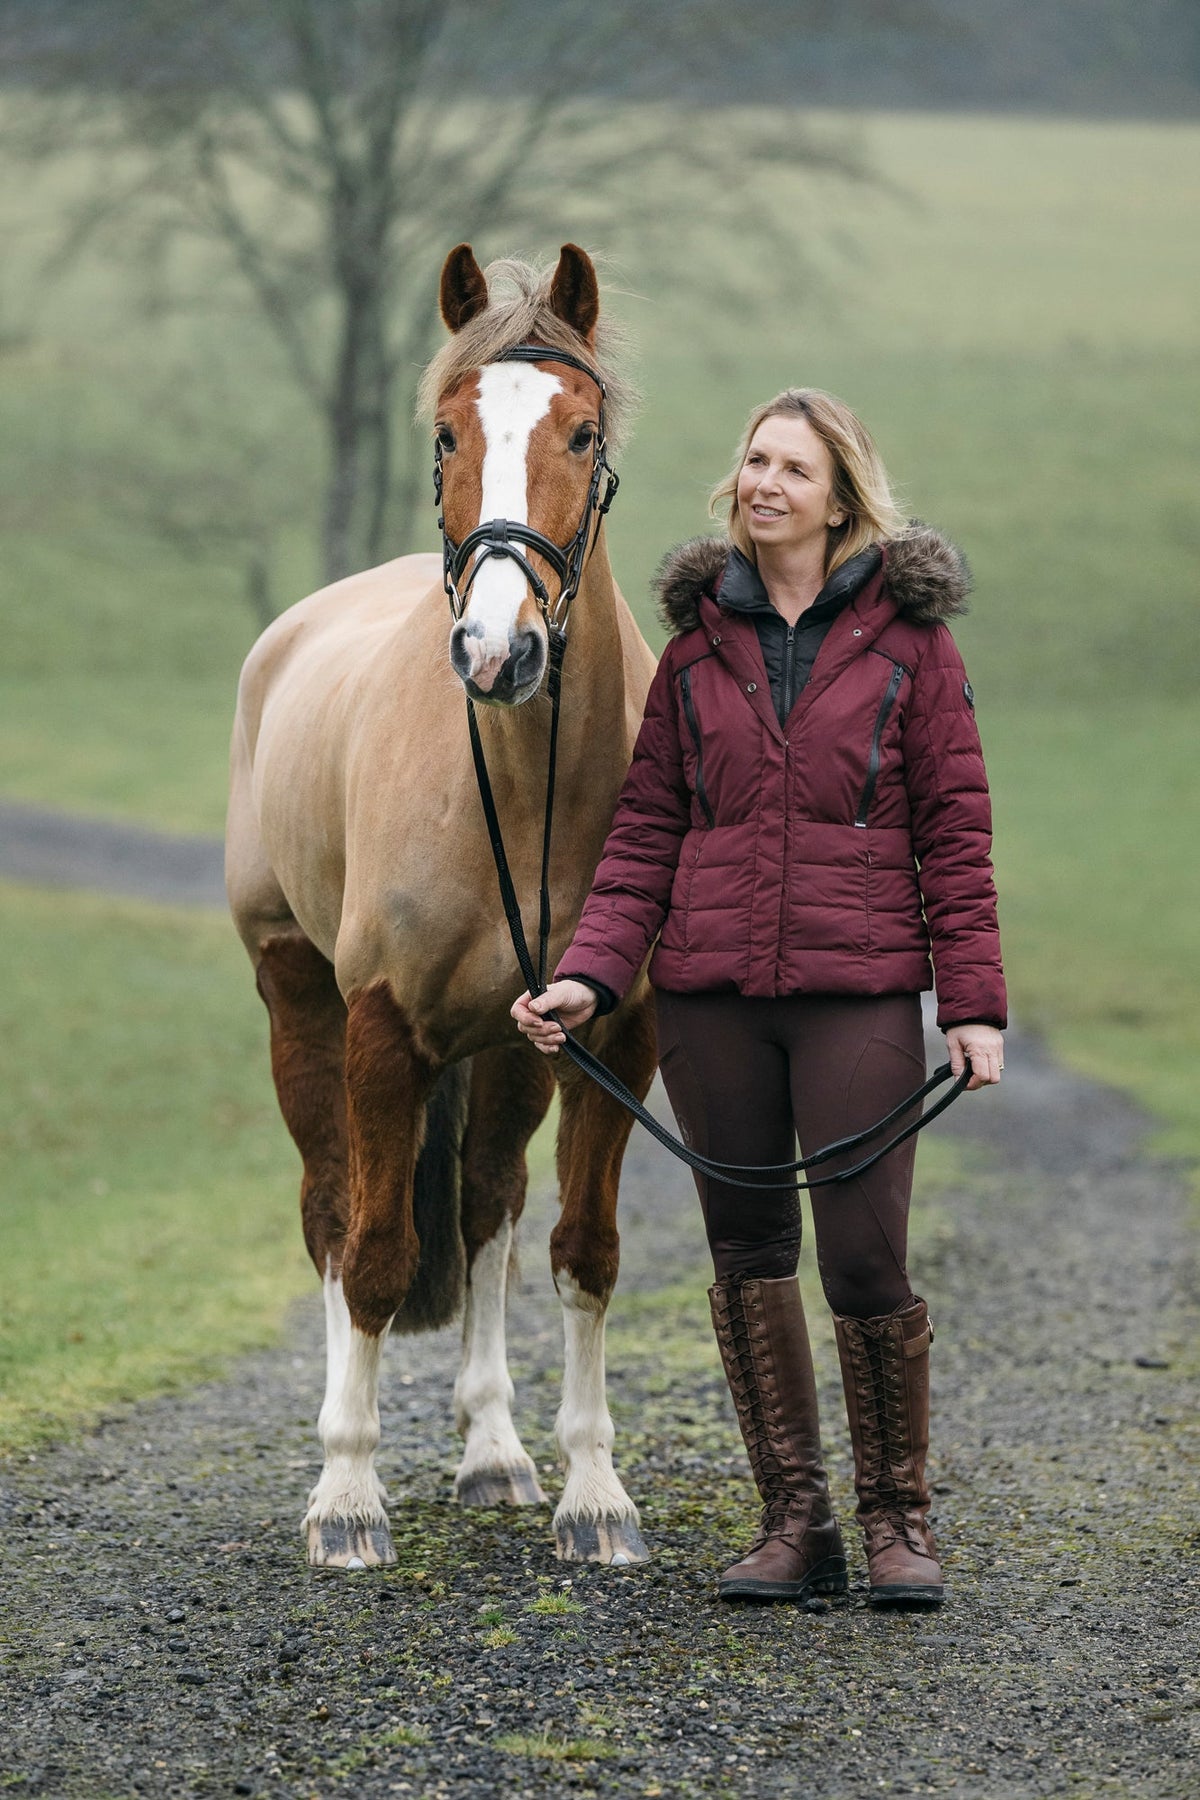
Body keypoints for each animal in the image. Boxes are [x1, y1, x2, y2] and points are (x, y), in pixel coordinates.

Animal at [226, 243, 659, 1570]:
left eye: (582, 432)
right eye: (446, 431)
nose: (495, 650)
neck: (517, 793)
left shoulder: (613, 1036)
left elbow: (580, 1254)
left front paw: (592, 1494)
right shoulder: (381, 1029)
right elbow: (373, 1256)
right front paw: (347, 1501)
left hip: (508, 1052)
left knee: (483, 1210)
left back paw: (494, 1451)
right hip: (296, 1000)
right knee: (331, 1213)